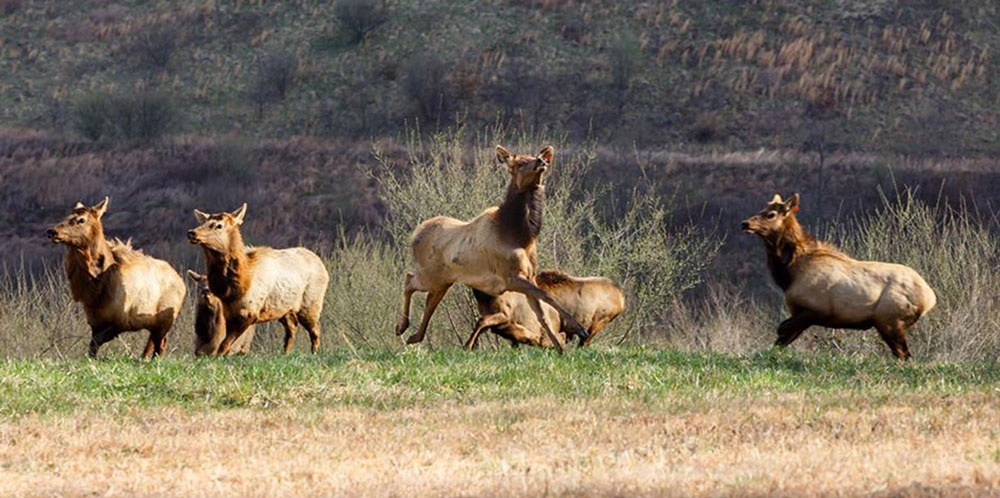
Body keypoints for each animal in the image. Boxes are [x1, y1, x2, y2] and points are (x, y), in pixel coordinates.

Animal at [47, 197, 186, 359]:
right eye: (67, 215)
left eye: (81, 219)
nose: (52, 231)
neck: (95, 290)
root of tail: (181, 282)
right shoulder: (95, 321)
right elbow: (92, 347)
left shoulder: (121, 320)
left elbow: (97, 341)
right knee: (152, 343)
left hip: (166, 319)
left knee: (160, 344)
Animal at [187, 204, 329, 355]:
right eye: (203, 222)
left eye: (219, 225)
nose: (192, 232)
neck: (236, 288)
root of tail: (321, 264)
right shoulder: (228, 313)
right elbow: (224, 345)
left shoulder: (249, 313)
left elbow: (224, 345)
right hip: (283, 309)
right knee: (292, 327)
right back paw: (285, 353)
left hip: (311, 304)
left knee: (315, 329)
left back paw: (314, 353)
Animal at [395, 145, 587, 353]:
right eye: (520, 163)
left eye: (534, 156)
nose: (541, 161)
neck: (521, 236)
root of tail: (415, 235)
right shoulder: (511, 277)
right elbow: (548, 297)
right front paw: (580, 330)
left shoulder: (529, 276)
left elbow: (542, 314)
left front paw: (560, 349)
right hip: (430, 275)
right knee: (409, 280)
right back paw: (401, 327)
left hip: (443, 280)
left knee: (429, 302)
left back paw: (414, 336)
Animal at [464, 270, 625, 350]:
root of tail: (621, 296)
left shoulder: (507, 316)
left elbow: (481, 322)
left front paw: (467, 347)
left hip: (598, 323)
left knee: (583, 343)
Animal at [741, 193, 936, 359]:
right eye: (762, 209)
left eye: (771, 214)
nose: (744, 223)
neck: (788, 275)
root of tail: (930, 299)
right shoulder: (800, 313)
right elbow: (780, 342)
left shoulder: (816, 310)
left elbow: (781, 329)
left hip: (889, 320)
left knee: (904, 354)